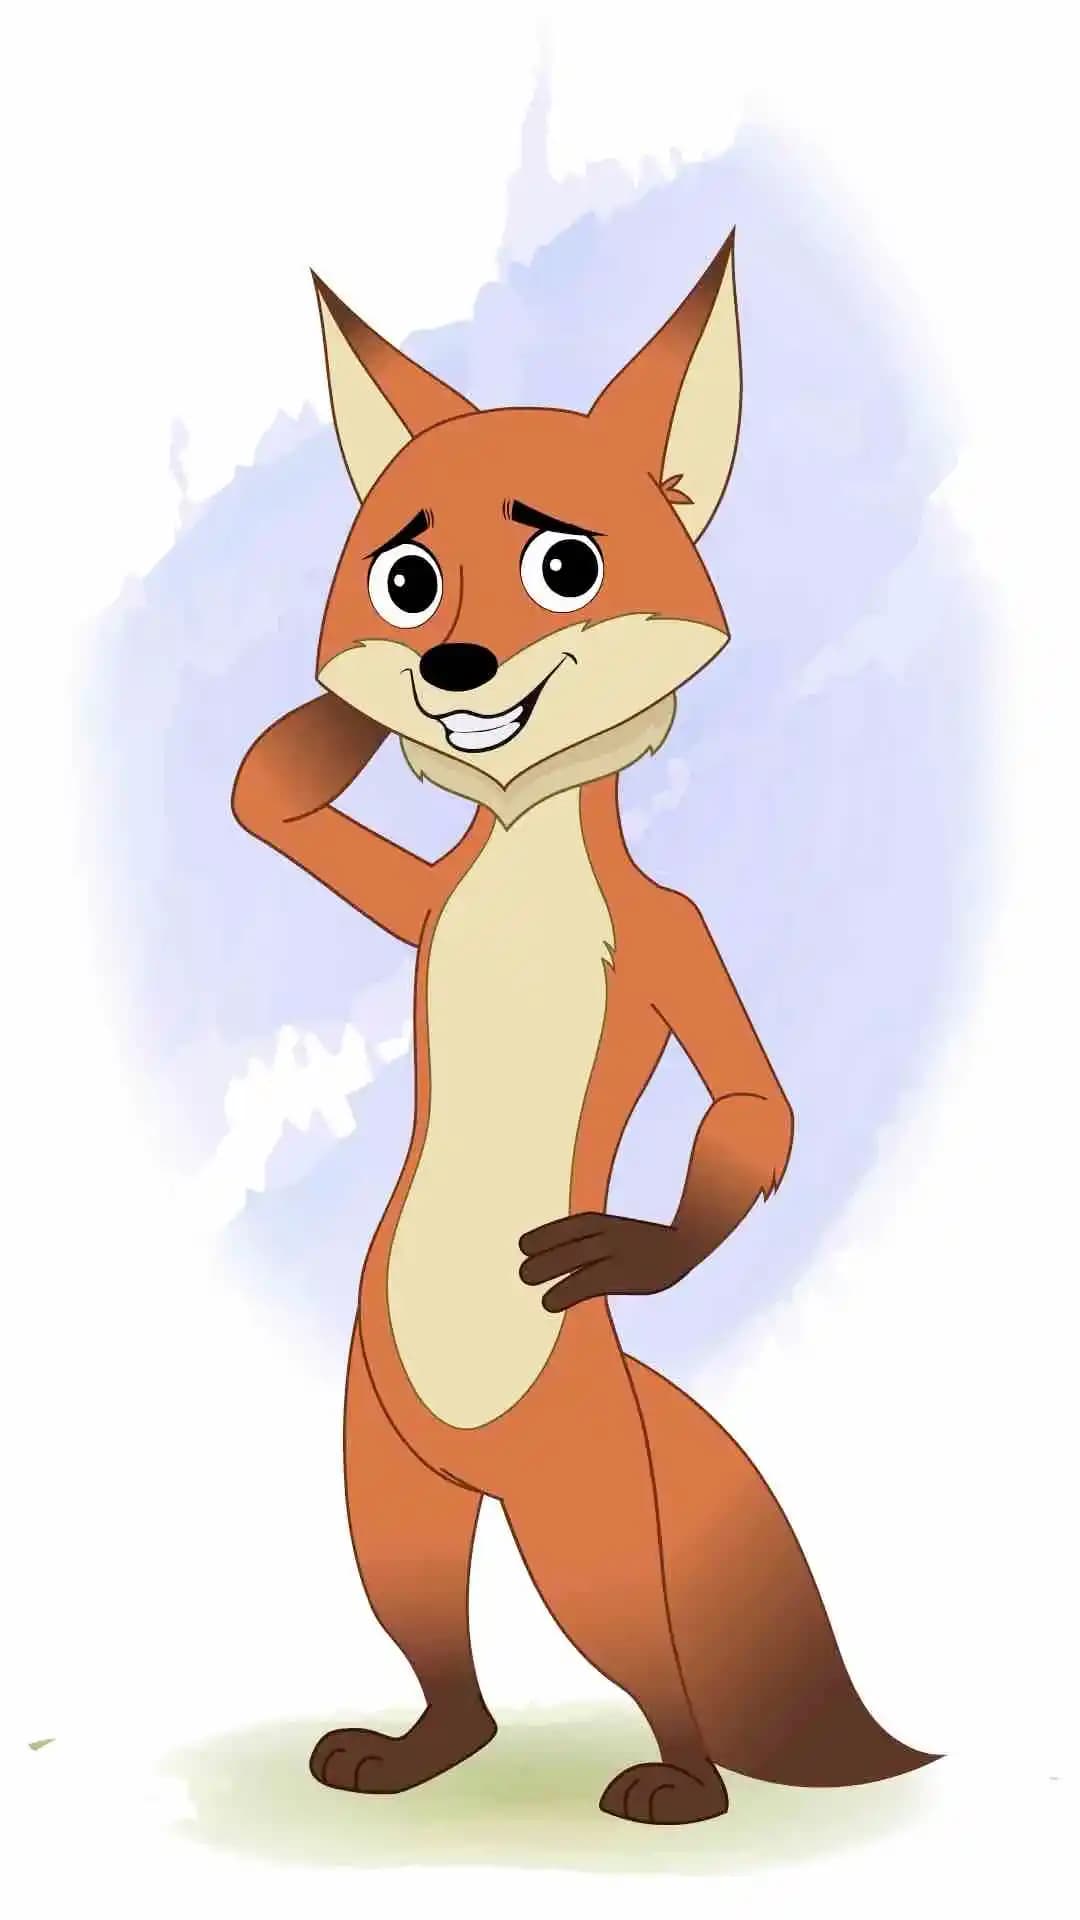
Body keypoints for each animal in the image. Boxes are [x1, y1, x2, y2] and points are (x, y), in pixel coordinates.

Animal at [231, 230, 939, 1825]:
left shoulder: (678, 934)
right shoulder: (420, 903)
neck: (519, 847)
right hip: (384, 1466)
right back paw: (414, 1749)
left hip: (578, 1497)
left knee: (640, 1631)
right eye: (407, 578)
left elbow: (756, 1105)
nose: (453, 667)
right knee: (434, 1634)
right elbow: (266, 803)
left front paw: (632, 1249)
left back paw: (679, 1783)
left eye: (566, 566)